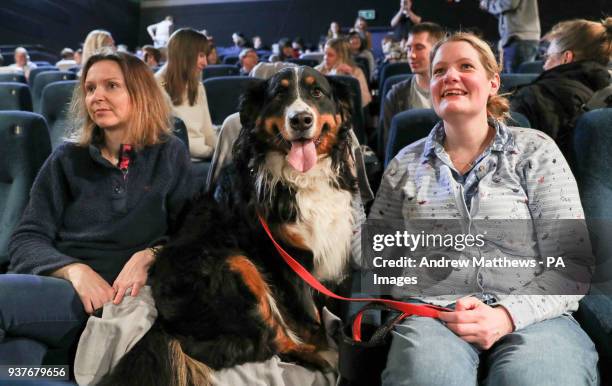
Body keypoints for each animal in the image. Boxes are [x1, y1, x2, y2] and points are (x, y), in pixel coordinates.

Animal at [99, 66, 358, 386]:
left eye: (317, 92)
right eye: (279, 94)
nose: (300, 119)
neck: (300, 180)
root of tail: (165, 324)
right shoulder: (286, 260)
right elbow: (309, 317)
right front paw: (324, 343)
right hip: (235, 266)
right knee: (271, 341)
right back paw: (324, 359)